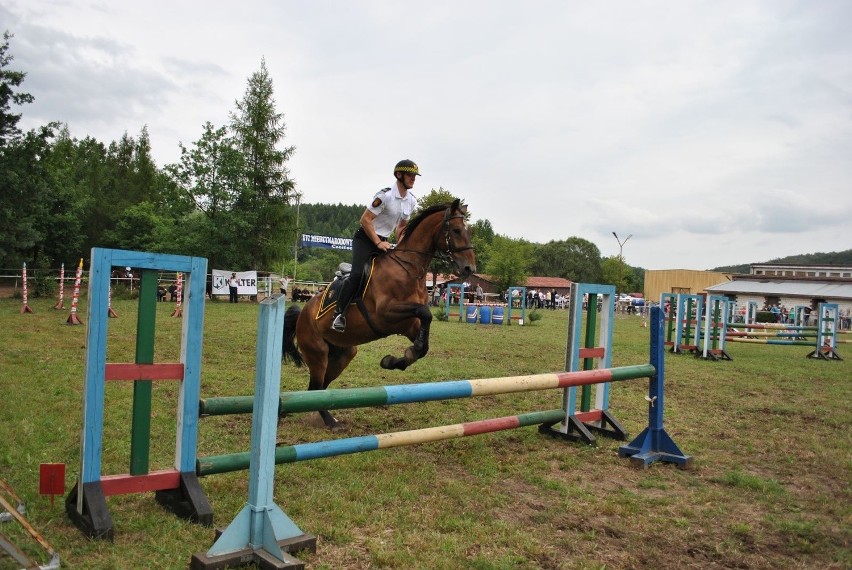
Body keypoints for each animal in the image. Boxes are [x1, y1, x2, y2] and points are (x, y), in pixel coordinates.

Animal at [282, 199, 476, 426]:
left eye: (469, 231)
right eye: (456, 230)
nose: (469, 269)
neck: (409, 270)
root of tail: (302, 315)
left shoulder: (409, 324)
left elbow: (423, 344)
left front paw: (395, 360)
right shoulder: (385, 314)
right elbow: (425, 312)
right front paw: (399, 358)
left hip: (343, 353)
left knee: (319, 388)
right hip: (317, 353)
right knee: (316, 386)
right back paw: (329, 421)